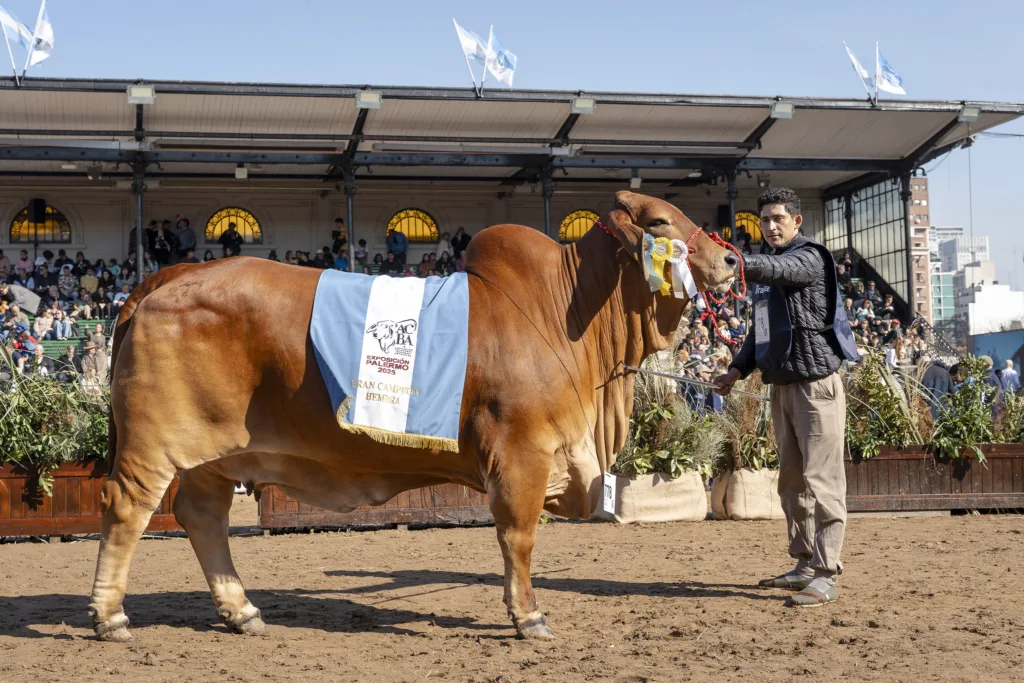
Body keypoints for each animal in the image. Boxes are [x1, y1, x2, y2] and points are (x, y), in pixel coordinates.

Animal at [87, 191, 738, 643]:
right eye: (660, 222)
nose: (732, 256)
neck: (568, 313)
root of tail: (169, 274)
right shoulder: (523, 453)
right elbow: (518, 537)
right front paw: (528, 616)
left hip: (215, 455)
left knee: (202, 517)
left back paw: (242, 611)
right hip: (152, 444)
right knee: (127, 509)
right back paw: (110, 616)